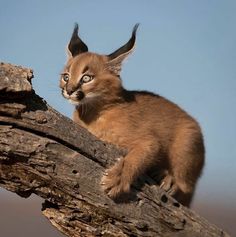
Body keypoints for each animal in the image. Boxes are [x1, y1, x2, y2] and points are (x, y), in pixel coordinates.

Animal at [59, 23, 205, 206]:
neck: (92, 111)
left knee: (186, 187)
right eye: (66, 77)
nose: (69, 90)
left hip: (186, 141)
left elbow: (136, 156)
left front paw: (117, 179)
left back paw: (169, 179)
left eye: (87, 78)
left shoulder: (150, 141)